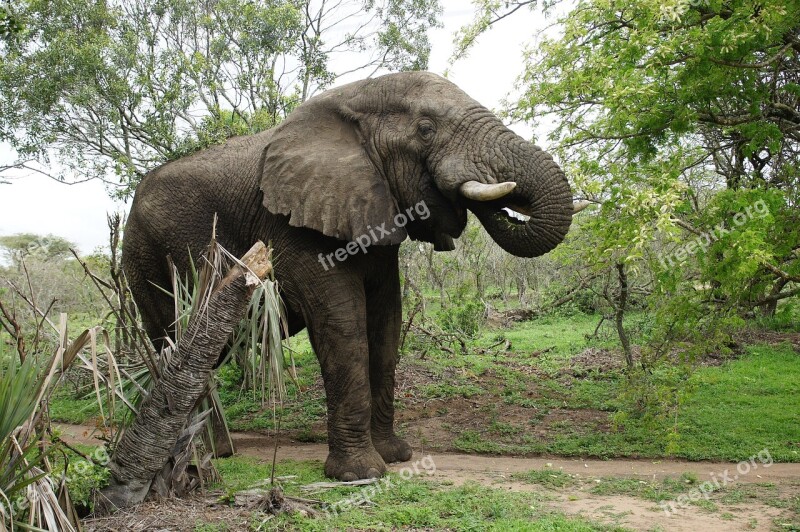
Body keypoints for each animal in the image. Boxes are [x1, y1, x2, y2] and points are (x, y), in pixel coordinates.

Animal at [122, 70, 580, 482]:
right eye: (426, 129)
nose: (503, 201)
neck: (354, 101)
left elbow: (386, 324)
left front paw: (395, 456)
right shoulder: (296, 226)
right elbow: (343, 325)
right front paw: (360, 475)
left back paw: (218, 451)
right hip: (146, 261)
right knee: (178, 343)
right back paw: (206, 454)